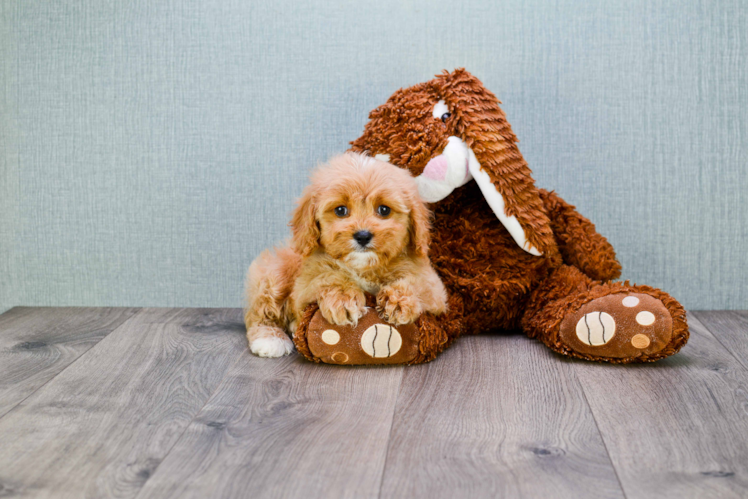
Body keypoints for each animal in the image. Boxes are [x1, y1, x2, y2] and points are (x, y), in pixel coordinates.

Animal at [245, 151, 448, 356]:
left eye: (384, 210)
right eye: (340, 210)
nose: (363, 235)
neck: (363, 267)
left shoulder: (435, 289)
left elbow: (418, 283)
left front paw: (398, 302)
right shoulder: (304, 287)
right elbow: (326, 277)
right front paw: (343, 299)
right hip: (275, 273)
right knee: (259, 313)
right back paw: (271, 339)